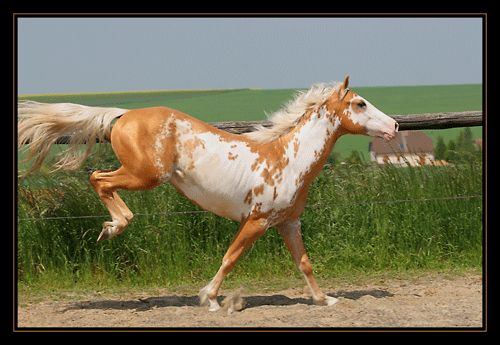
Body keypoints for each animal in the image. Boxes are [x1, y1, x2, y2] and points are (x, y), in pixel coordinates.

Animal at [17, 75, 398, 310]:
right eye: (360, 104)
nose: (394, 125)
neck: (288, 159)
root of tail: (125, 113)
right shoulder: (256, 221)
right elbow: (230, 258)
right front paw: (210, 299)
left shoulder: (288, 223)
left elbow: (304, 263)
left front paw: (325, 300)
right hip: (145, 175)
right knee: (99, 178)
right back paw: (114, 226)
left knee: (100, 180)